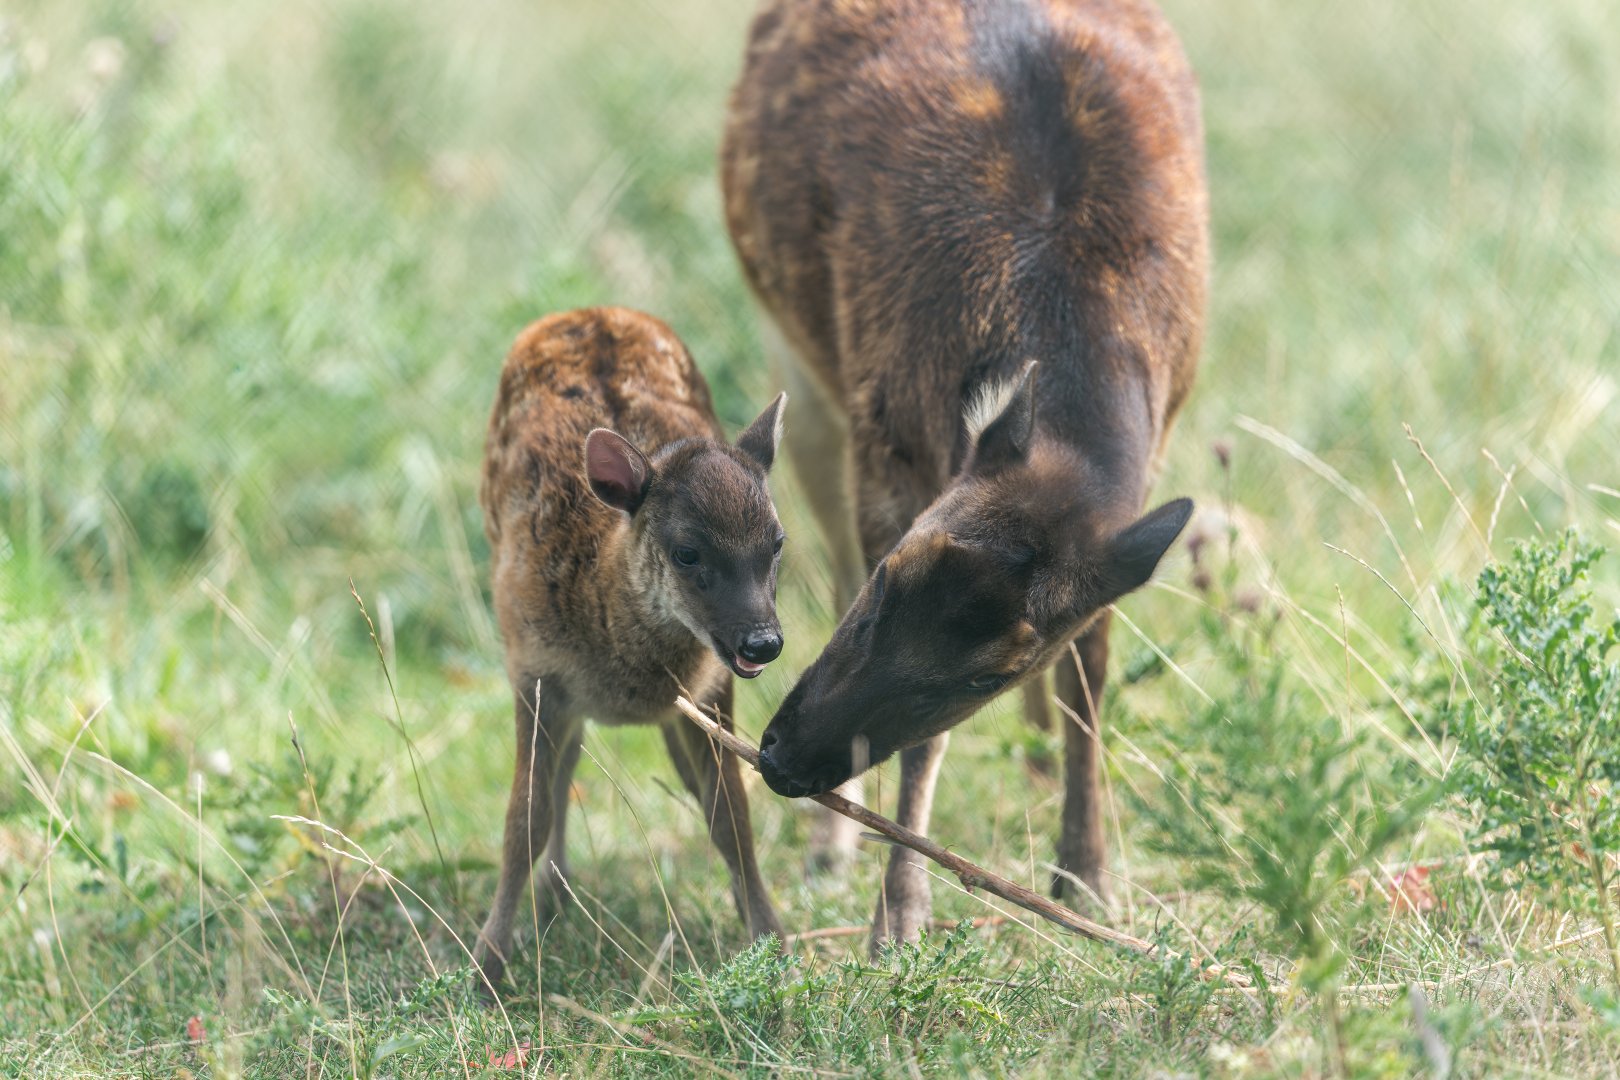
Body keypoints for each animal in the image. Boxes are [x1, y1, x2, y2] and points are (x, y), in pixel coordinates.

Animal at [472, 306, 789, 989]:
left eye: (776, 542)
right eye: (687, 551)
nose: (763, 641)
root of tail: (585, 311)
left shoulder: (708, 689)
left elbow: (730, 813)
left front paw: (772, 937)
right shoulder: (533, 670)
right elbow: (523, 818)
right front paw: (486, 963)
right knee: (564, 770)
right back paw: (553, 893)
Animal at [721, 0, 1207, 948]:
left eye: (992, 671)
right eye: (887, 578)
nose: (782, 758)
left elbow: (1091, 667)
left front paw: (1088, 876)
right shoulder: (884, 442)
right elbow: (927, 740)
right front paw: (898, 916)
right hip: (799, 362)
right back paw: (833, 844)